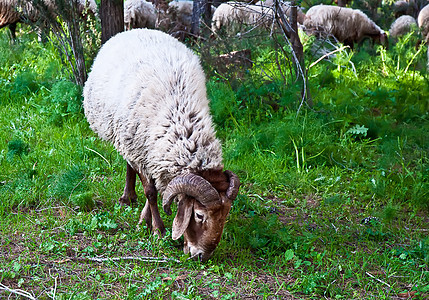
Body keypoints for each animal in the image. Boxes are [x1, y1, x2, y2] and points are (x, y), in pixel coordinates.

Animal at [82, 28, 239, 262]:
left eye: (226, 215)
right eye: (199, 215)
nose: (202, 256)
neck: (182, 122)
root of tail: (137, 29)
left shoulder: (154, 155)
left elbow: (156, 187)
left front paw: (144, 220)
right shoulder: (140, 150)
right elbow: (151, 192)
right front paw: (158, 230)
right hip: (124, 136)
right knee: (129, 164)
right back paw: (127, 197)